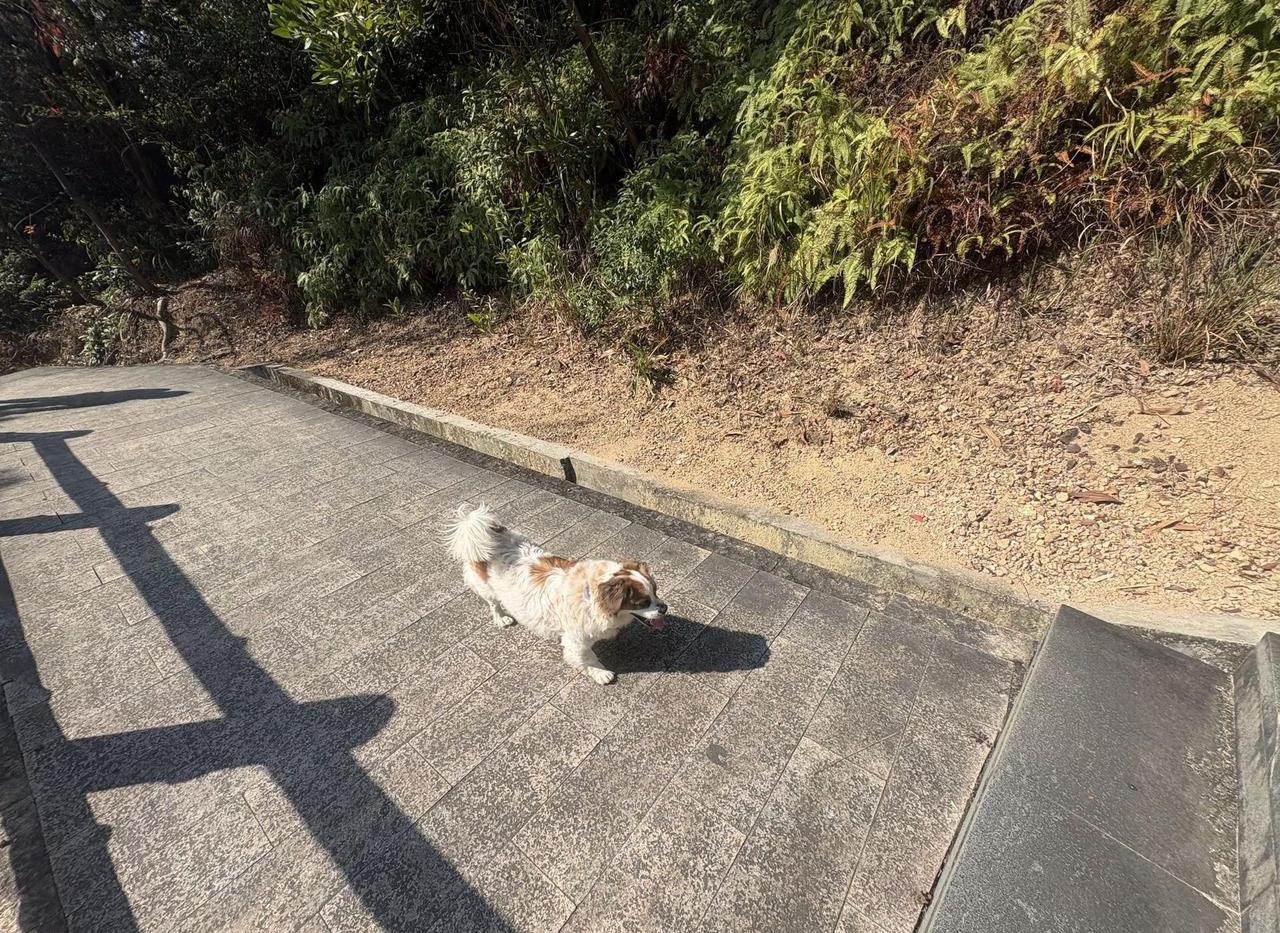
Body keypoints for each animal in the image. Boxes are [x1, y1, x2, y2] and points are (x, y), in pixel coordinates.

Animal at [447, 504, 667, 685]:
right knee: (493, 603)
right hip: (486, 588)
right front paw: (599, 672)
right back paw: (501, 618)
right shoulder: (576, 641)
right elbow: (587, 657)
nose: (664, 608)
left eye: (656, 592)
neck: (590, 594)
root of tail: (482, 530)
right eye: (643, 602)